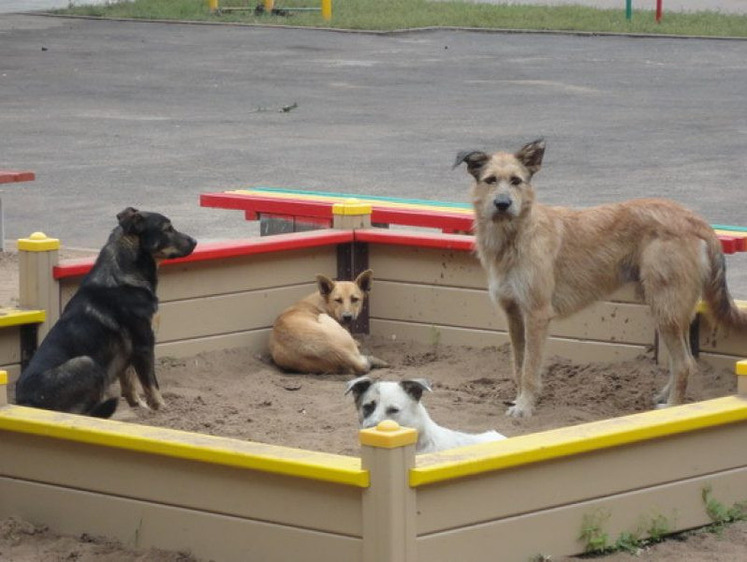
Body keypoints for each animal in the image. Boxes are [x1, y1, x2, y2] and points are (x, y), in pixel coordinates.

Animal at [15, 207, 196, 416]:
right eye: (167, 229)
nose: (195, 242)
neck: (126, 274)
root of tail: (25, 404)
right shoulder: (143, 344)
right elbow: (151, 384)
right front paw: (162, 409)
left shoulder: (129, 350)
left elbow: (129, 381)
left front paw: (138, 406)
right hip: (87, 363)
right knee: (81, 413)